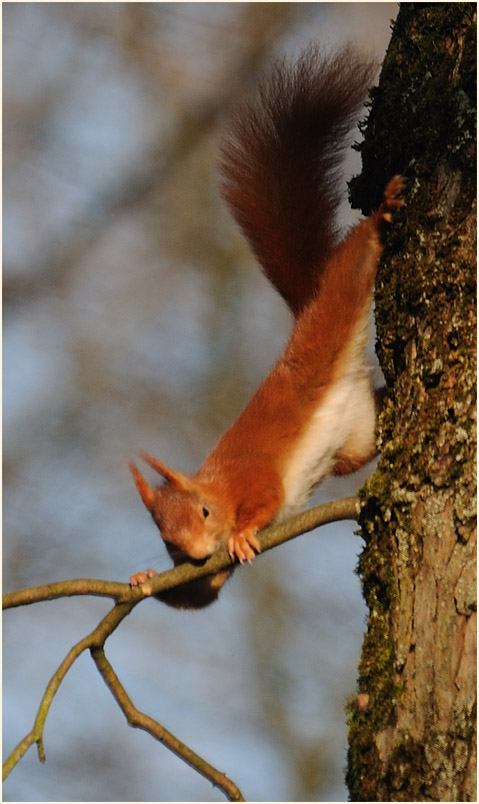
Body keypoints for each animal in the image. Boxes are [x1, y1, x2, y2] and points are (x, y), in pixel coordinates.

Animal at [129, 45, 404, 609]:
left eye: (204, 512)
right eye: (166, 541)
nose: (193, 551)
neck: (217, 487)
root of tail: (307, 312)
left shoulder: (252, 478)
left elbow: (267, 498)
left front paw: (241, 532)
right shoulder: (204, 571)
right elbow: (202, 591)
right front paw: (143, 579)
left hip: (334, 308)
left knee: (352, 267)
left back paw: (381, 216)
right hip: (357, 440)